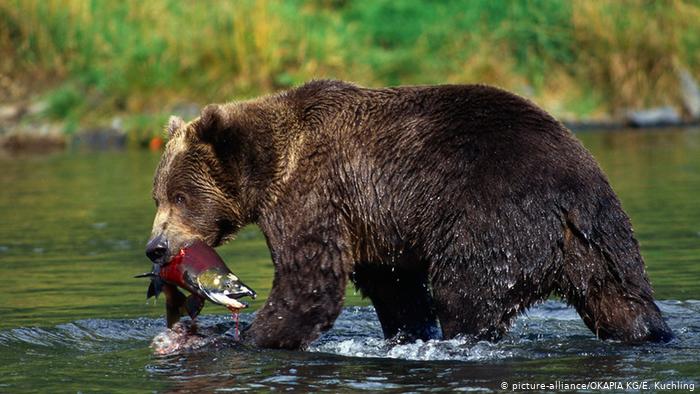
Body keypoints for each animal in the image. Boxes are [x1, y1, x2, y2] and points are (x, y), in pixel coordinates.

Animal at [146, 79, 672, 348]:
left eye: (181, 196)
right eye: (157, 196)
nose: (156, 247)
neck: (271, 165)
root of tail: (573, 194)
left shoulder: (315, 193)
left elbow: (309, 281)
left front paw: (246, 337)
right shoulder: (376, 223)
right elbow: (396, 289)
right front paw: (405, 332)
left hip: (491, 219)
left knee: (466, 293)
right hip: (604, 244)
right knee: (622, 301)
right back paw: (651, 332)